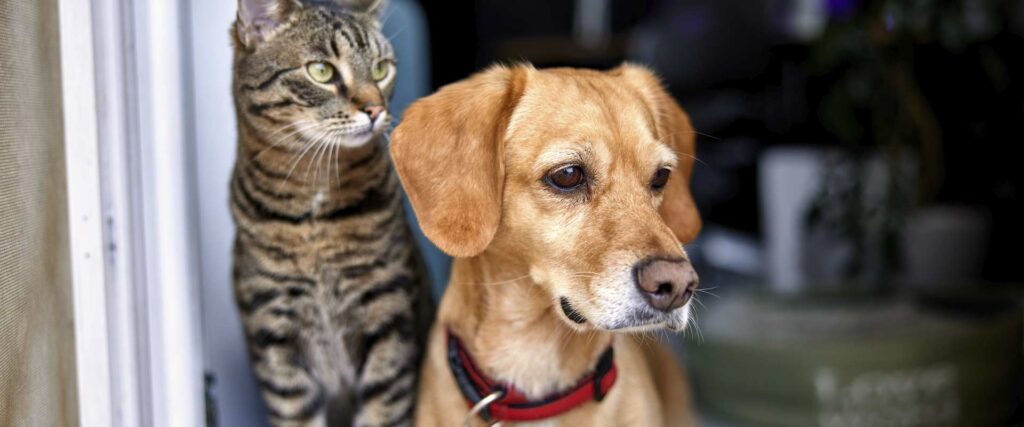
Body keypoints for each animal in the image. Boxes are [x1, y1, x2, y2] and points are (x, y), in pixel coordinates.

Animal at [230, 1, 430, 423]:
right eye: (321, 71)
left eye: (381, 69)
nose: (375, 109)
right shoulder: (273, 333)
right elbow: (296, 414)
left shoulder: (389, 315)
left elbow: (383, 410)